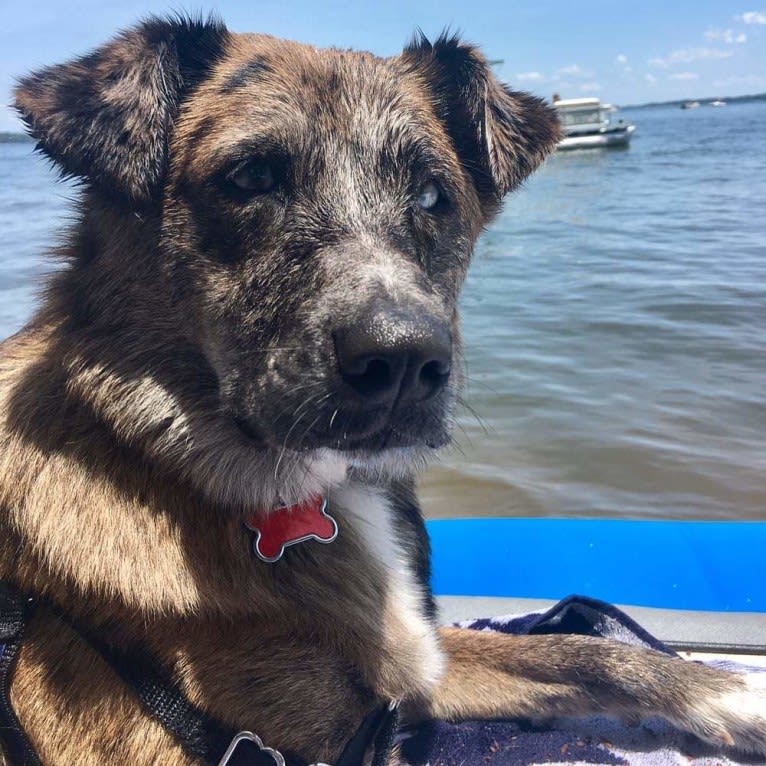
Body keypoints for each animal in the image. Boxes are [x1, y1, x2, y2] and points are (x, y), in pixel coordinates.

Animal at [0, 13, 764, 766]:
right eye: (251, 177)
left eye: (432, 196)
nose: (402, 361)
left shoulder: (417, 673)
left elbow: (576, 653)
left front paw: (732, 695)